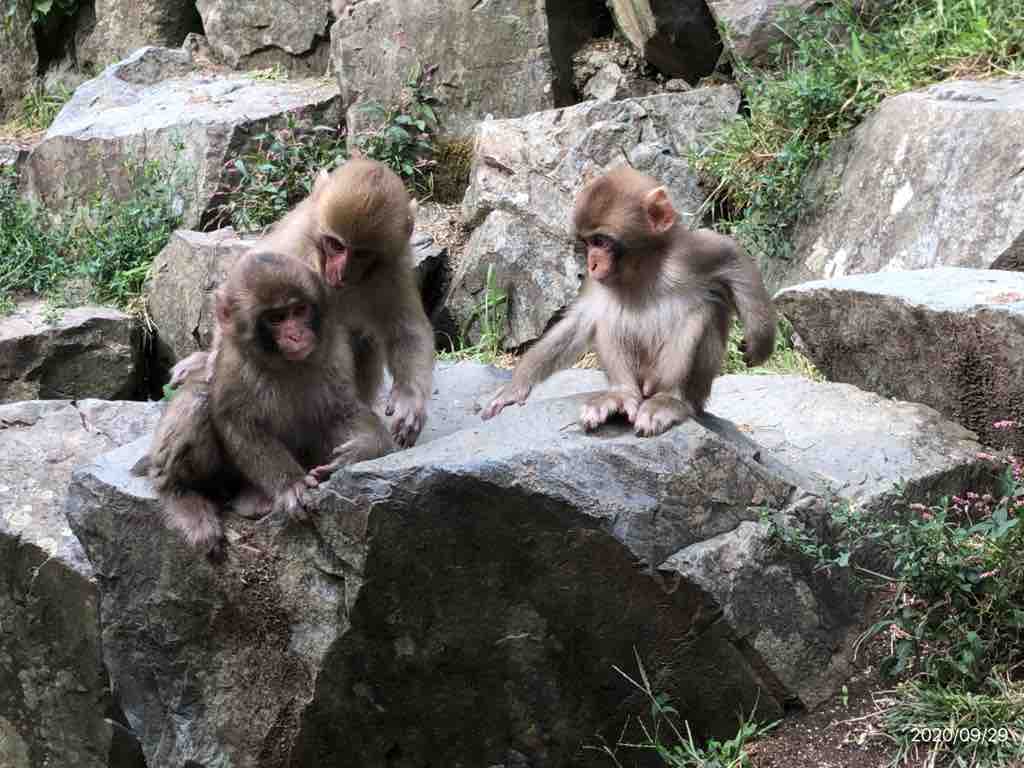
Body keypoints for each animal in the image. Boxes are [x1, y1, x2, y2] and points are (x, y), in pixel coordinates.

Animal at [149, 250, 394, 557]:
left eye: (299, 310)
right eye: (276, 318)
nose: (296, 335)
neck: (285, 364)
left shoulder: (334, 348)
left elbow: (342, 409)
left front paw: (361, 449)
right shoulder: (232, 363)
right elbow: (237, 422)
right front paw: (290, 485)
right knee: (197, 401)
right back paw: (181, 494)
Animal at [170, 158, 434, 448]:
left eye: (361, 254)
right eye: (335, 245)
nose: (340, 272)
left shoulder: (393, 267)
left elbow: (406, 330)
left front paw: (409, 399)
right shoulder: (294, 247)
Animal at [481, 166, 777, 437]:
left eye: (601, 241)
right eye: (588, 243)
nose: (592, 264)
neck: (641, 270)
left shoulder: (690, 253)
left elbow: (734, 258)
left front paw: (760, 341)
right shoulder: (597, 283)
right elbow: (579, 321)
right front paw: (515, 386)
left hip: (689, 389)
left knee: (701, 312)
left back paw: (670, 400)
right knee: (607, 317)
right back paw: (620, 395)